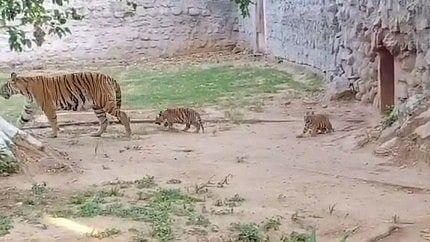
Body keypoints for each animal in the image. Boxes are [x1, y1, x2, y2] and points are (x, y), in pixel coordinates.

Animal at [0, 71, 131, 138]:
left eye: (4, 86)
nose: (0, 91)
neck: (25, 91)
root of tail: (109, 77)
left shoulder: (48, 107)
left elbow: (53, 121)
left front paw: (53, 134)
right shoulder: (29, 108)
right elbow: (21, 120)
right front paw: (15, 131)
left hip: (105, 103)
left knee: (123, 114)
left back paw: (128, 133)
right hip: (97, 107)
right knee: (104, 121)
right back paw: (96, 134)